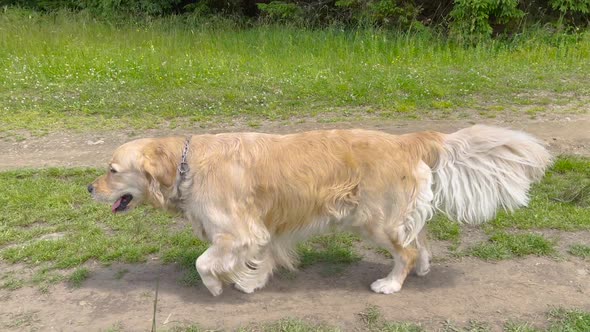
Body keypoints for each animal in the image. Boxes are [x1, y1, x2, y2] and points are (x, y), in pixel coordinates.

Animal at [89, 126, 556, 296]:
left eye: (112, 170)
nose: (89, 186)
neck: (186, 164)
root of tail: (406, 139)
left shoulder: (239, 231)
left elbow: (205, 262)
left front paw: (220, 287)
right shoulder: (257, 232)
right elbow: (253, 258)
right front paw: (248, 281)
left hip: (376, 220)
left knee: (404, 250)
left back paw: (391, 284)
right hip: (393, 216)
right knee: (418, 239)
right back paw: (422, 269)